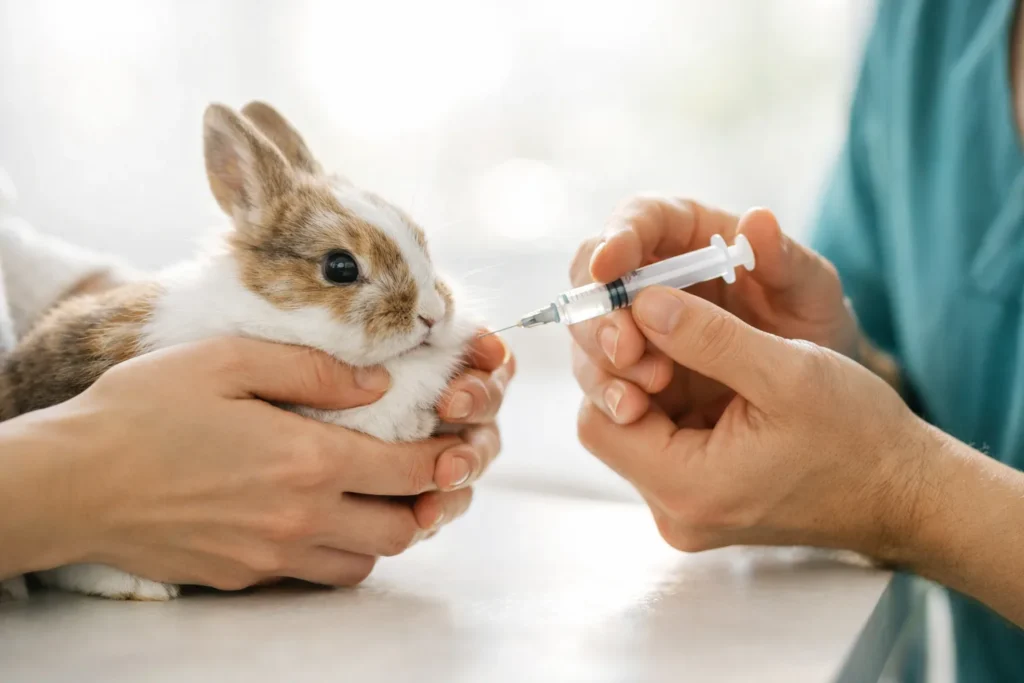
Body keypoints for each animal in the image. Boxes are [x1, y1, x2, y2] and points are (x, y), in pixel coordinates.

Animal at [0, 102, 478, 601]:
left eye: (422, 244)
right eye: (340, 267)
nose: (433, 315)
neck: (269, 314)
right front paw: (418, 422)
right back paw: (138, 586)